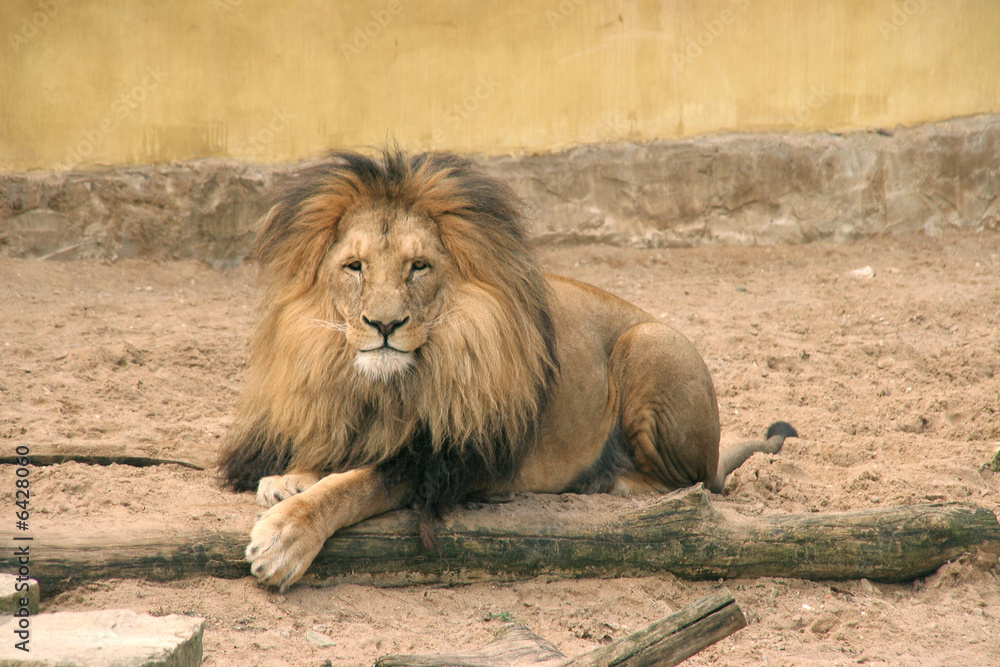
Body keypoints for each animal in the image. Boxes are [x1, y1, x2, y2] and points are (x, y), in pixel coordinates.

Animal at [218, 147, 797, 591]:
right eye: (354, 267)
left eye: (419, 267)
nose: (384, 324)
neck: (395, 386)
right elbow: (340, 457)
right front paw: (290, 478)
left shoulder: (451, 459)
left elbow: (357, 484)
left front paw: (285, 537)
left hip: (649, 342)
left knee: (688, 484)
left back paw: (606, 480)